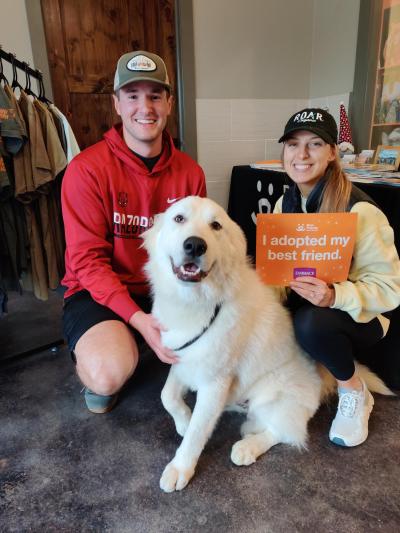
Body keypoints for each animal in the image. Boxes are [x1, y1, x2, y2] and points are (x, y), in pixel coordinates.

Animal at [143, 195, 390, 490]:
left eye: (215, 225)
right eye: (179, 218)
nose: (194, 245)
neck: (197, 302)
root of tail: (322, 377)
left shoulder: (214, 382)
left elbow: (196, 433)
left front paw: (181, 467)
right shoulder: (182, 359)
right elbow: (167, 396)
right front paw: (183, 420)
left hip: (274, 397)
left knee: (286, 432)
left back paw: (247, 447)